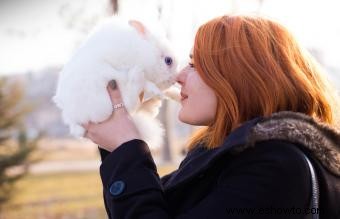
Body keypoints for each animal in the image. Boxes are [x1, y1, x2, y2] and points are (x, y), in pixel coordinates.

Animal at [52, 16, 181, 148]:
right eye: (168, 60)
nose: (174, 80)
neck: (140, 52)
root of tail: (74, 120)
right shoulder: (125, 70)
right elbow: (146, 84)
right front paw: (158, 92)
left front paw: (174, 92)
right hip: (106, 92)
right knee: (130, 102)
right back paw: (138, 78)